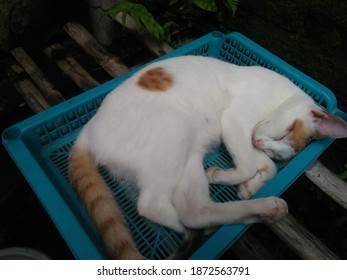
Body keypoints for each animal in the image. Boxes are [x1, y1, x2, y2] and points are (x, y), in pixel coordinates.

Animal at [68, 55, 347, 260]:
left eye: (277, 149)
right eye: (284, 134)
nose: (260, 143)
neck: (280, 97)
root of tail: (87, 130)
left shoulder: (246, 135)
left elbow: (267, 166)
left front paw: (249, 187)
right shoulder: (234, 121)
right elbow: (249, 164)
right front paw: (230, 177)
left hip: (189, 158)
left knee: (196, 211)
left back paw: (262, 209)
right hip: (175, 133)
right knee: (153, 206)